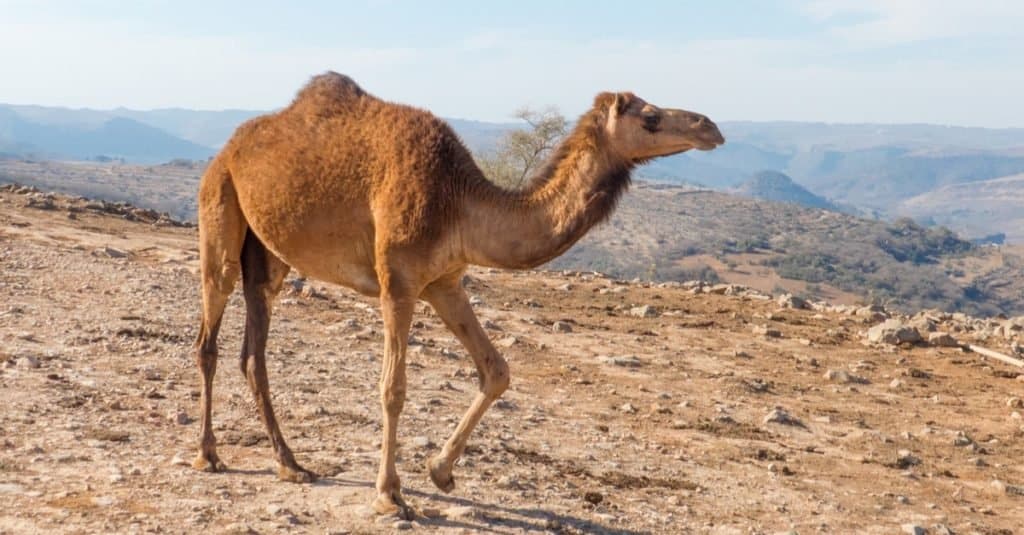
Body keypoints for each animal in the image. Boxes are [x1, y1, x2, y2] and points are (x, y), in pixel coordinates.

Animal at [190, 70, 720, 516]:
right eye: (650, 117)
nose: (710, 126)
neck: (459, 202)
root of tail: (229, 148)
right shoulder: (398, 282)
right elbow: (393, 389)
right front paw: (390, 494)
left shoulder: (444, 284)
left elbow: (497, 370)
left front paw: (440, 472)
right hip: (219, 209)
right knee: (209, 337)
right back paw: (208, 454)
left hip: (269, 256)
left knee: (253, 350)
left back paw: (290, 463)